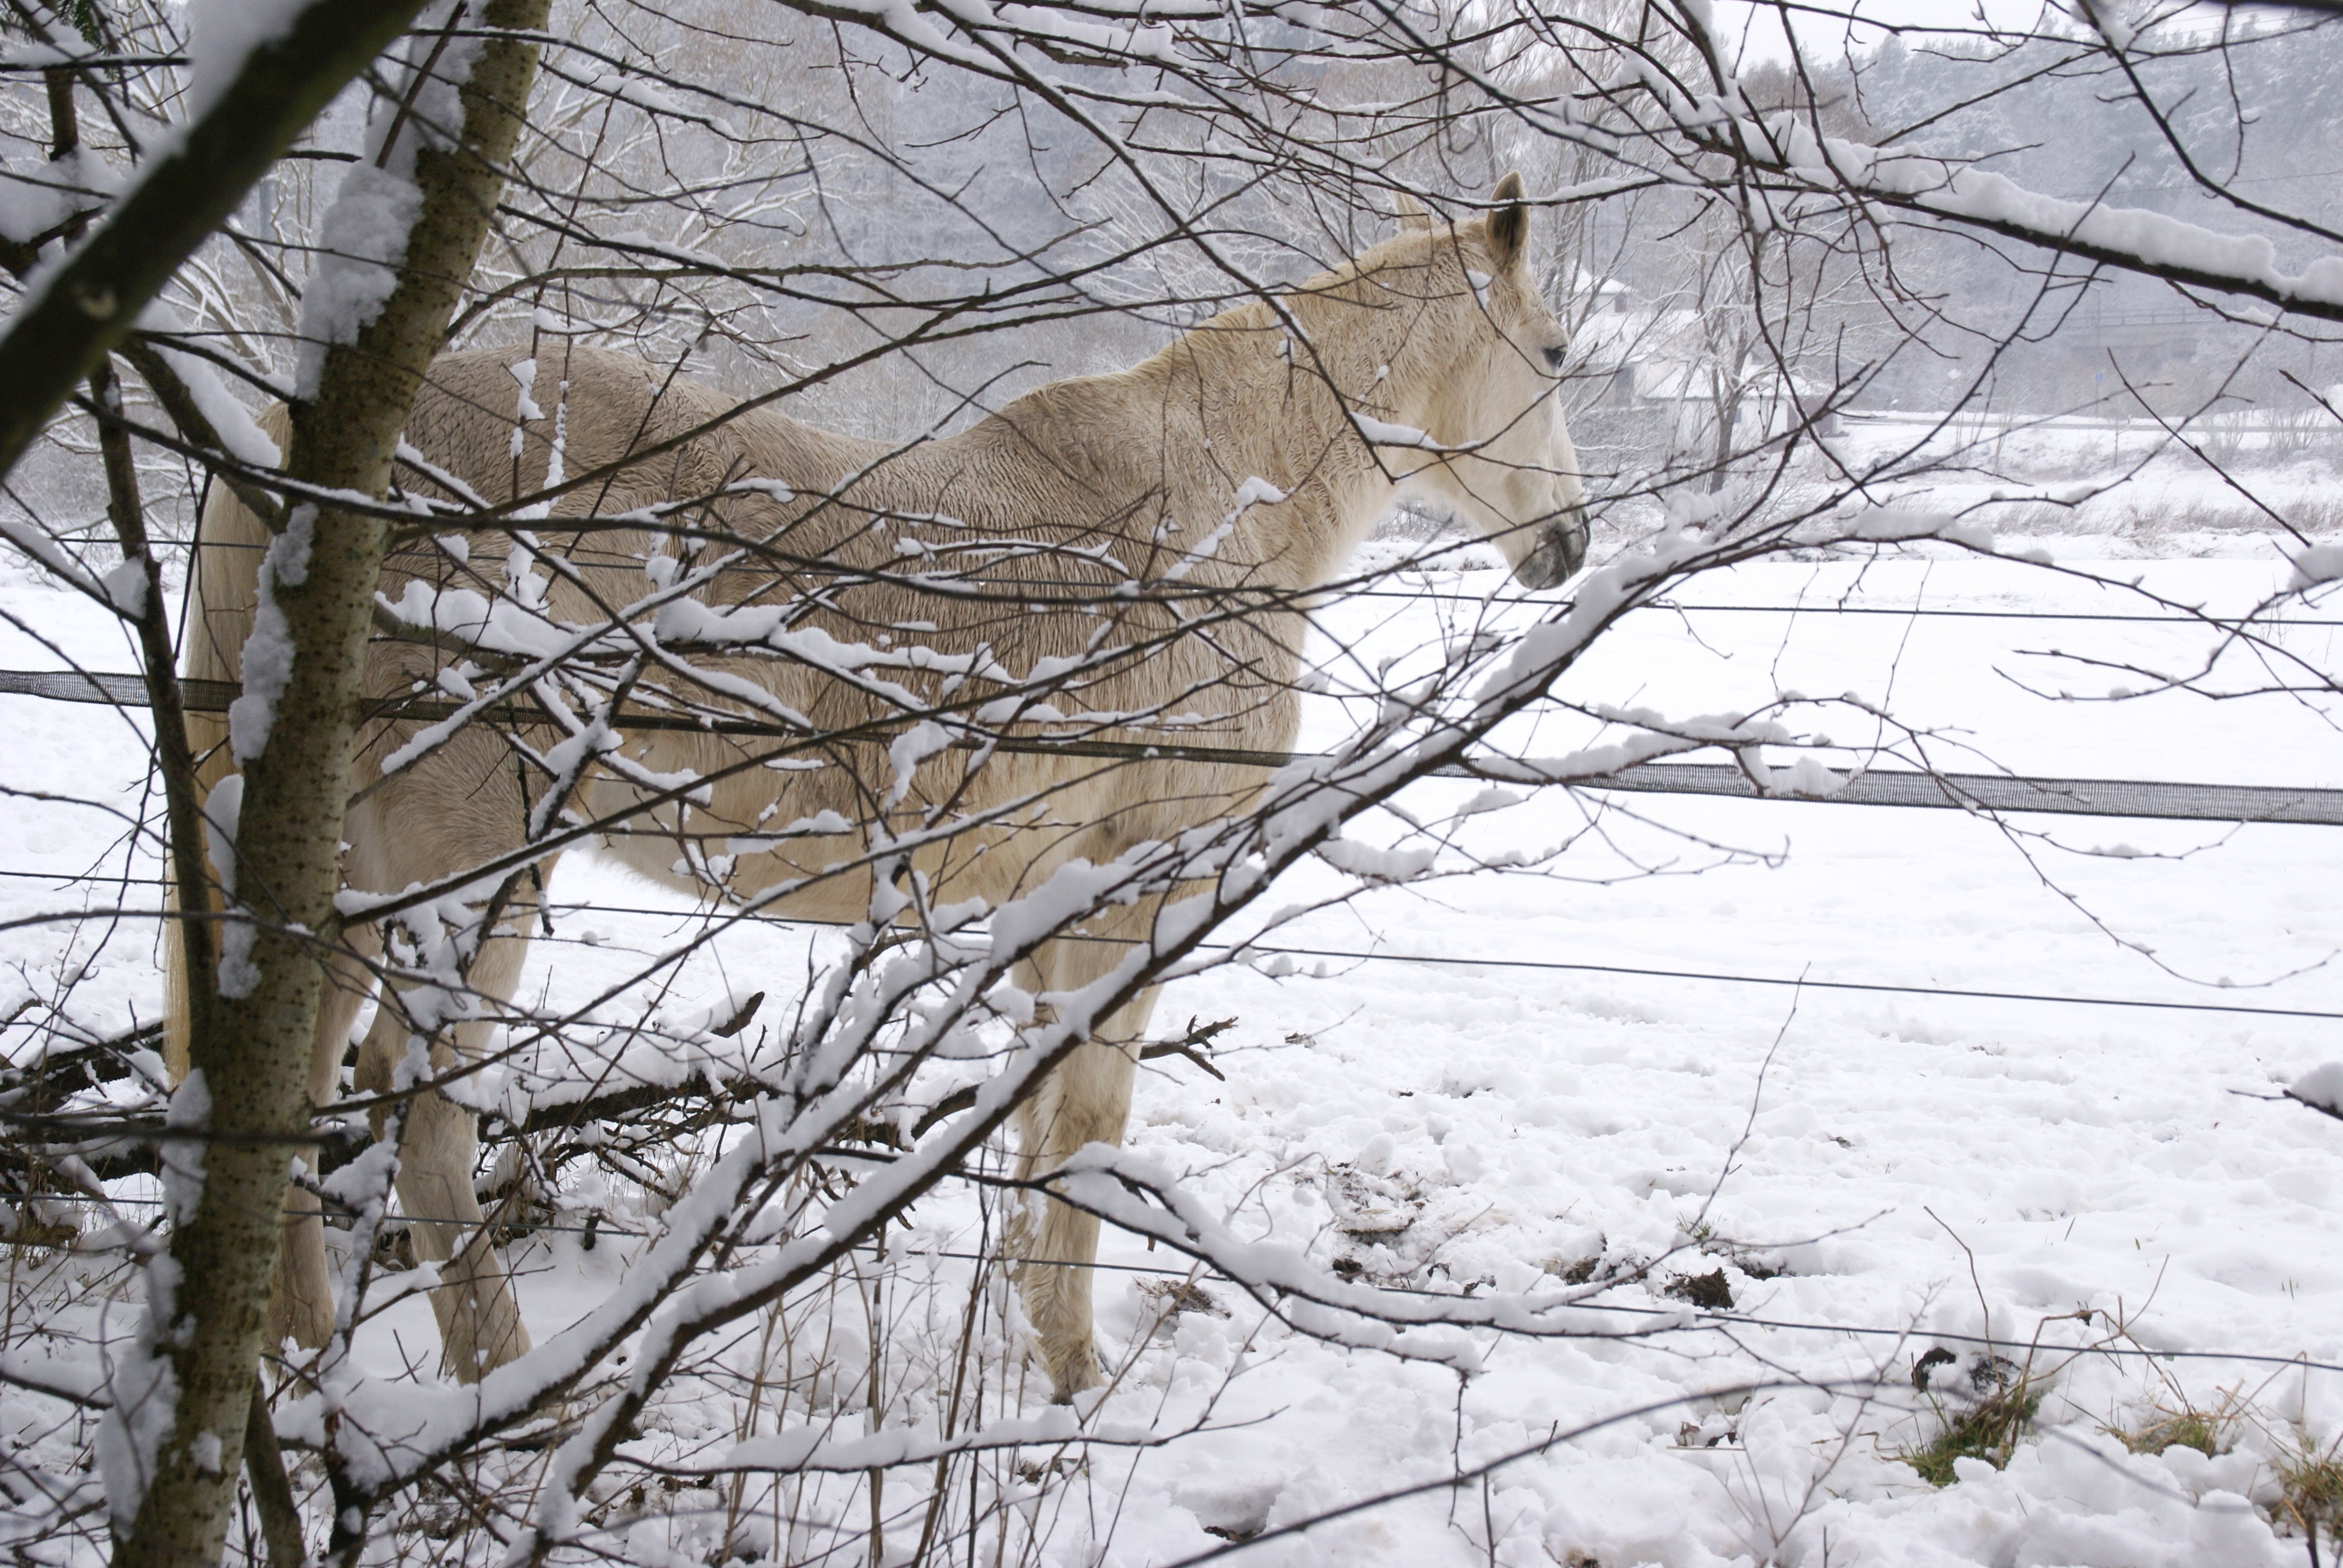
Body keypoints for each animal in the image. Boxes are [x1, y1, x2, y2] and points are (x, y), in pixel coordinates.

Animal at [169, 177, 1593, 1397]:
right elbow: (1084, 1127)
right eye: (1554, 355)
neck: (1216, 508)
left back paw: (303, 1372)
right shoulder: (1129, 900)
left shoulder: (1047, 914)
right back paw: (511, 1398)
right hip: (473, 871)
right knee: (419, 1117)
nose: (1571, 543)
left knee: (293, 1099)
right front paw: (1074, 1378)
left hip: (344, 873)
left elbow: (1033, 1132)